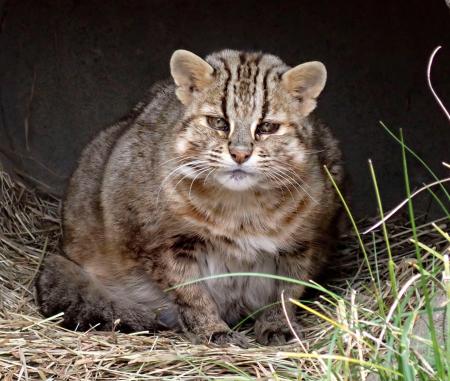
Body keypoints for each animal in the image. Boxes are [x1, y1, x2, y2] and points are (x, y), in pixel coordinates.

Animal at [36, 49, 344, 346]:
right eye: (218, 122)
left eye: (267, 127)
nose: (240, 154)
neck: (241, 206)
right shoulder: (164, 244)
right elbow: (191, 292)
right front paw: (212, 330)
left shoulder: (306, 243)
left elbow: (286, 291)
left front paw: (279, 324)